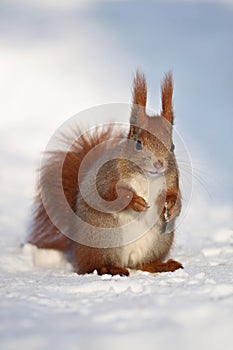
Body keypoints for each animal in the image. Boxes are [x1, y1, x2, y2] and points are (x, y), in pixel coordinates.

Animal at [28, 72, 183, 276]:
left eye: (172, 147)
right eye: (138, 143)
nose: (159, 163)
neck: (148, 177)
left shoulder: (172, 180)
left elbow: (176, 197)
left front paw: (171, 206)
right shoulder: (107, 174)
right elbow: (106, 193)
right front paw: (134, 201)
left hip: (160, 240)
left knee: (142, 264)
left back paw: (160, 265)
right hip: (105, 237)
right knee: (93, 266)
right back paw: (110, 268)